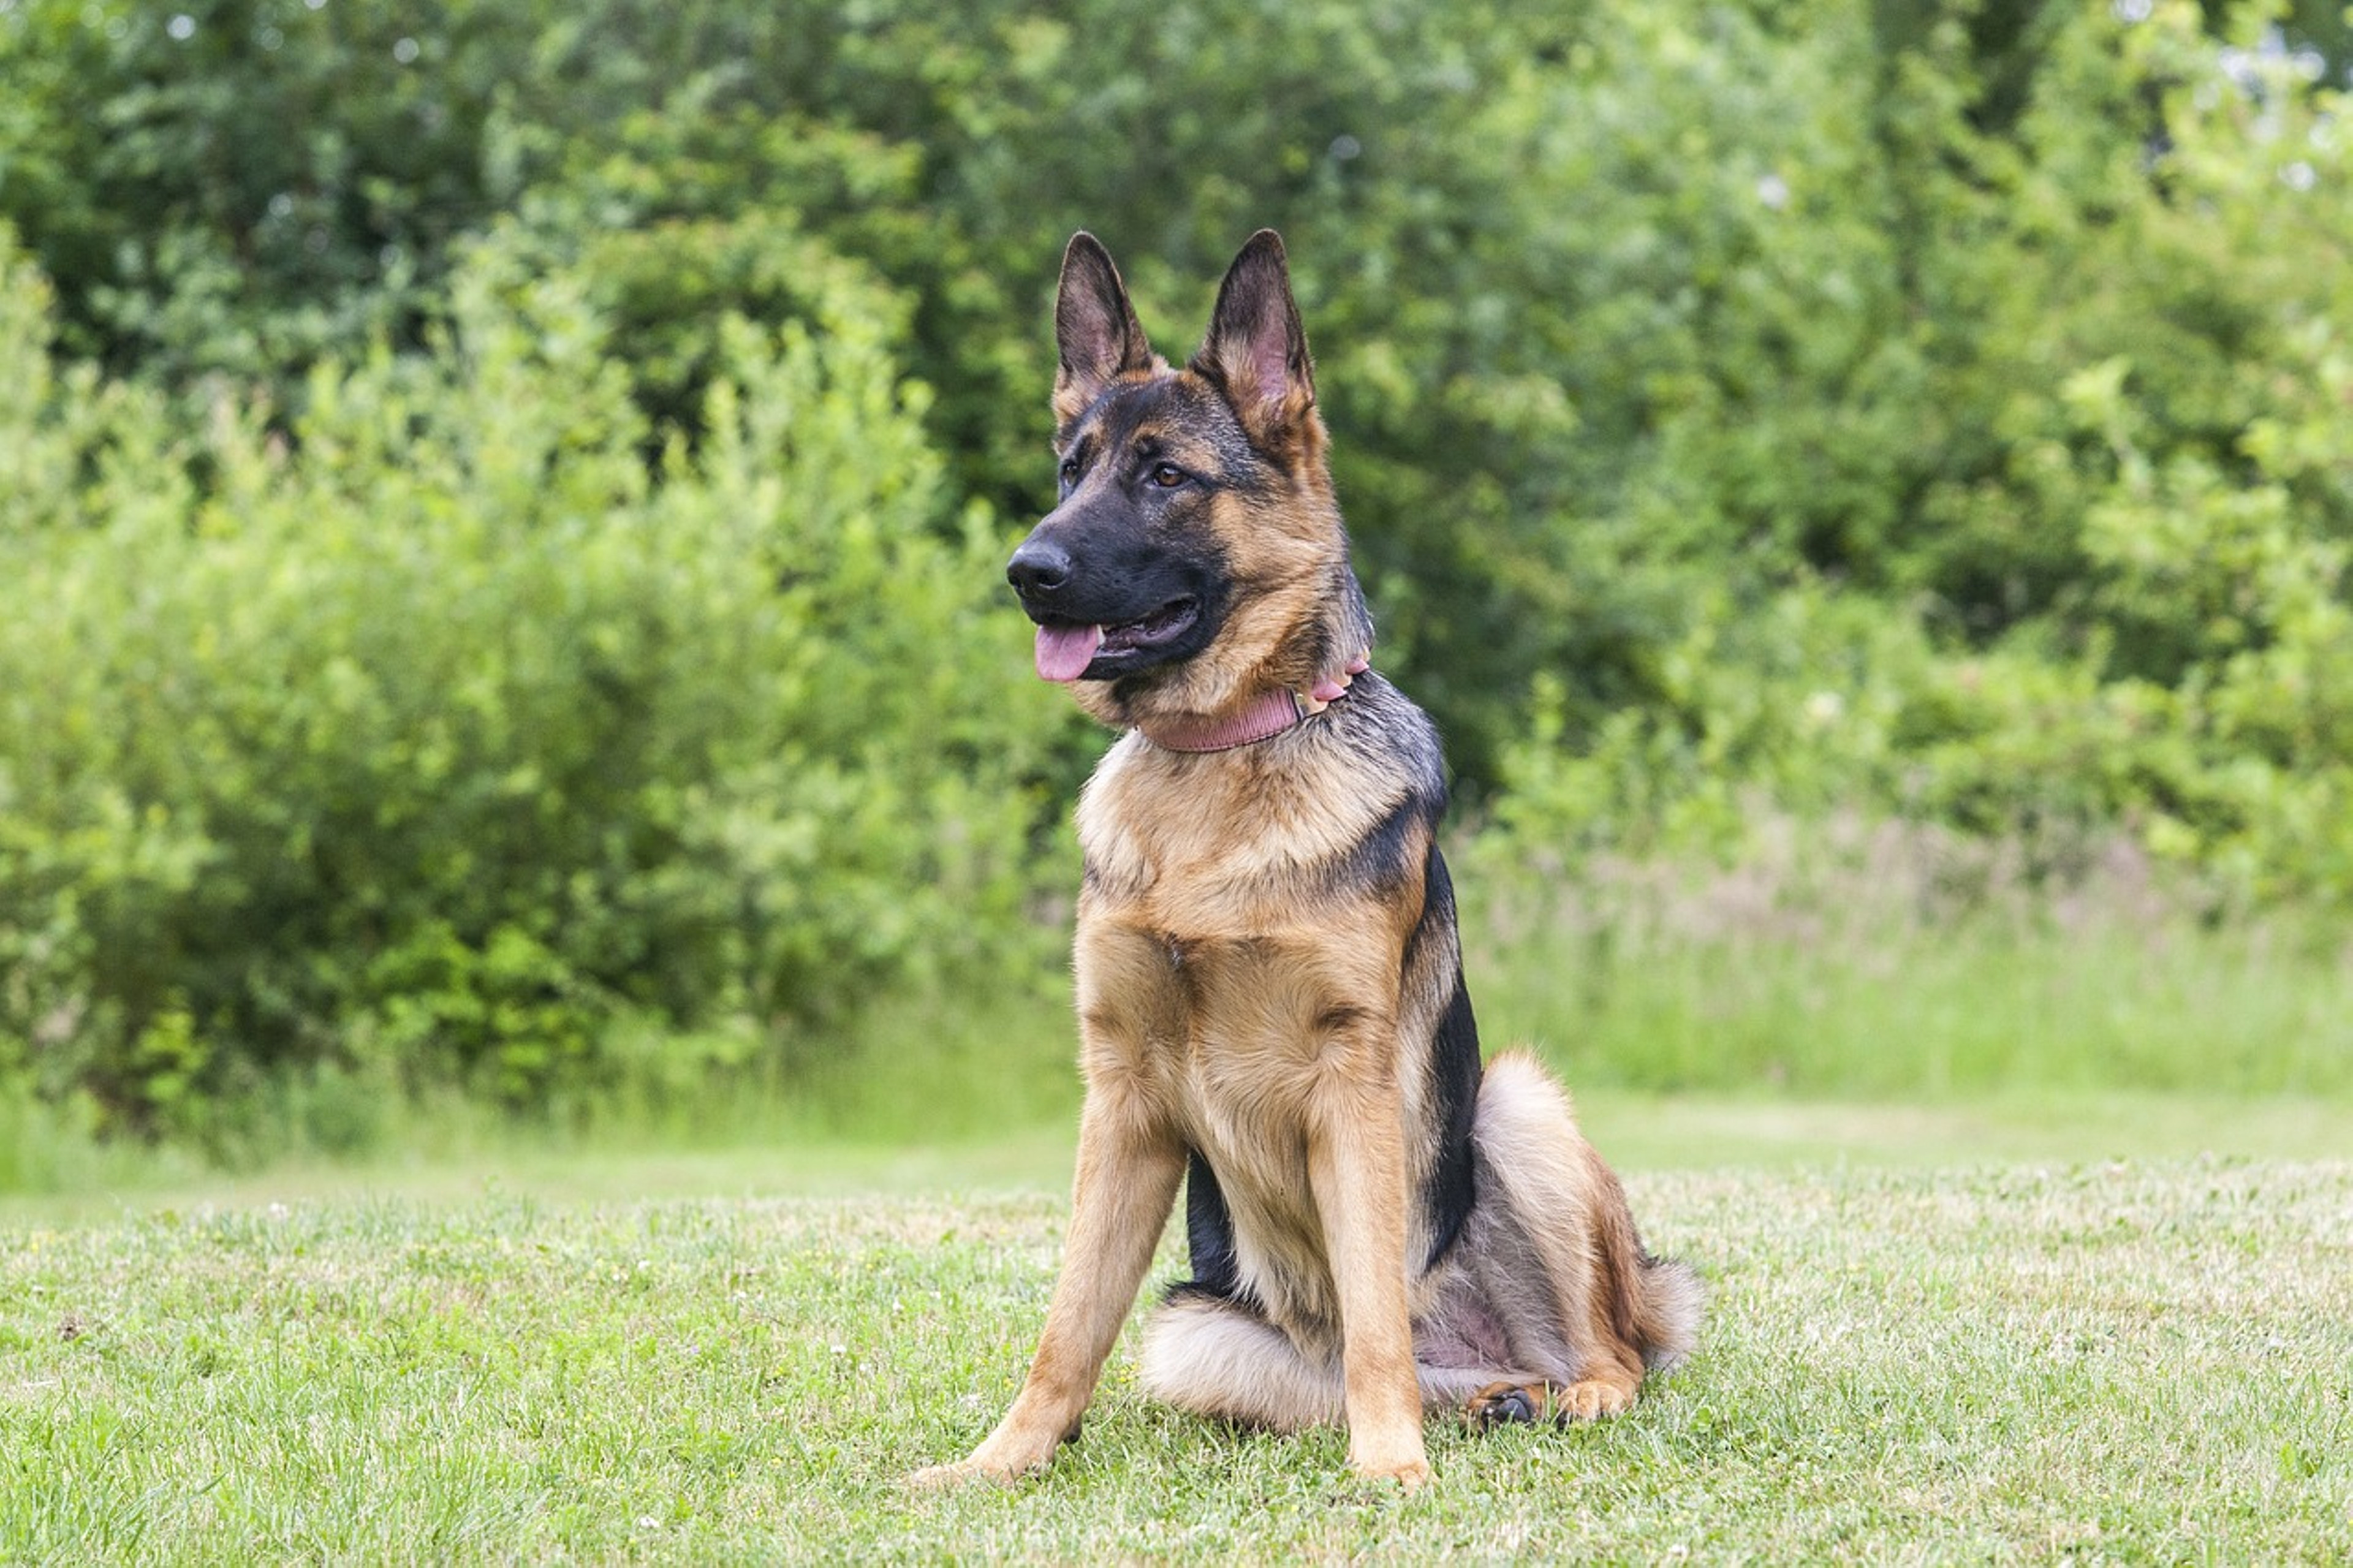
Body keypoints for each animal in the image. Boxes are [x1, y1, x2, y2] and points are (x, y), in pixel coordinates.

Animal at [908, 225, 1703, 1488]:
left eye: (1166, 476)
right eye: (1071, 469)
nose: (1027, 569)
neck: (1222, 757)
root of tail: (1485, 1354)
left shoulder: (1351, 1081)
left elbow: (1376, 1310)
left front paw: (1391, 1472)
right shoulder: (1121, 1096)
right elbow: (1066, 1324)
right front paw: (1000, 1460)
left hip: (1516, 1105)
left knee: (1598, 1348)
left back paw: (1562, 1393)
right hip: (1197, 1332)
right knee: (1397, 1380)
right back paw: (1495, 1404)